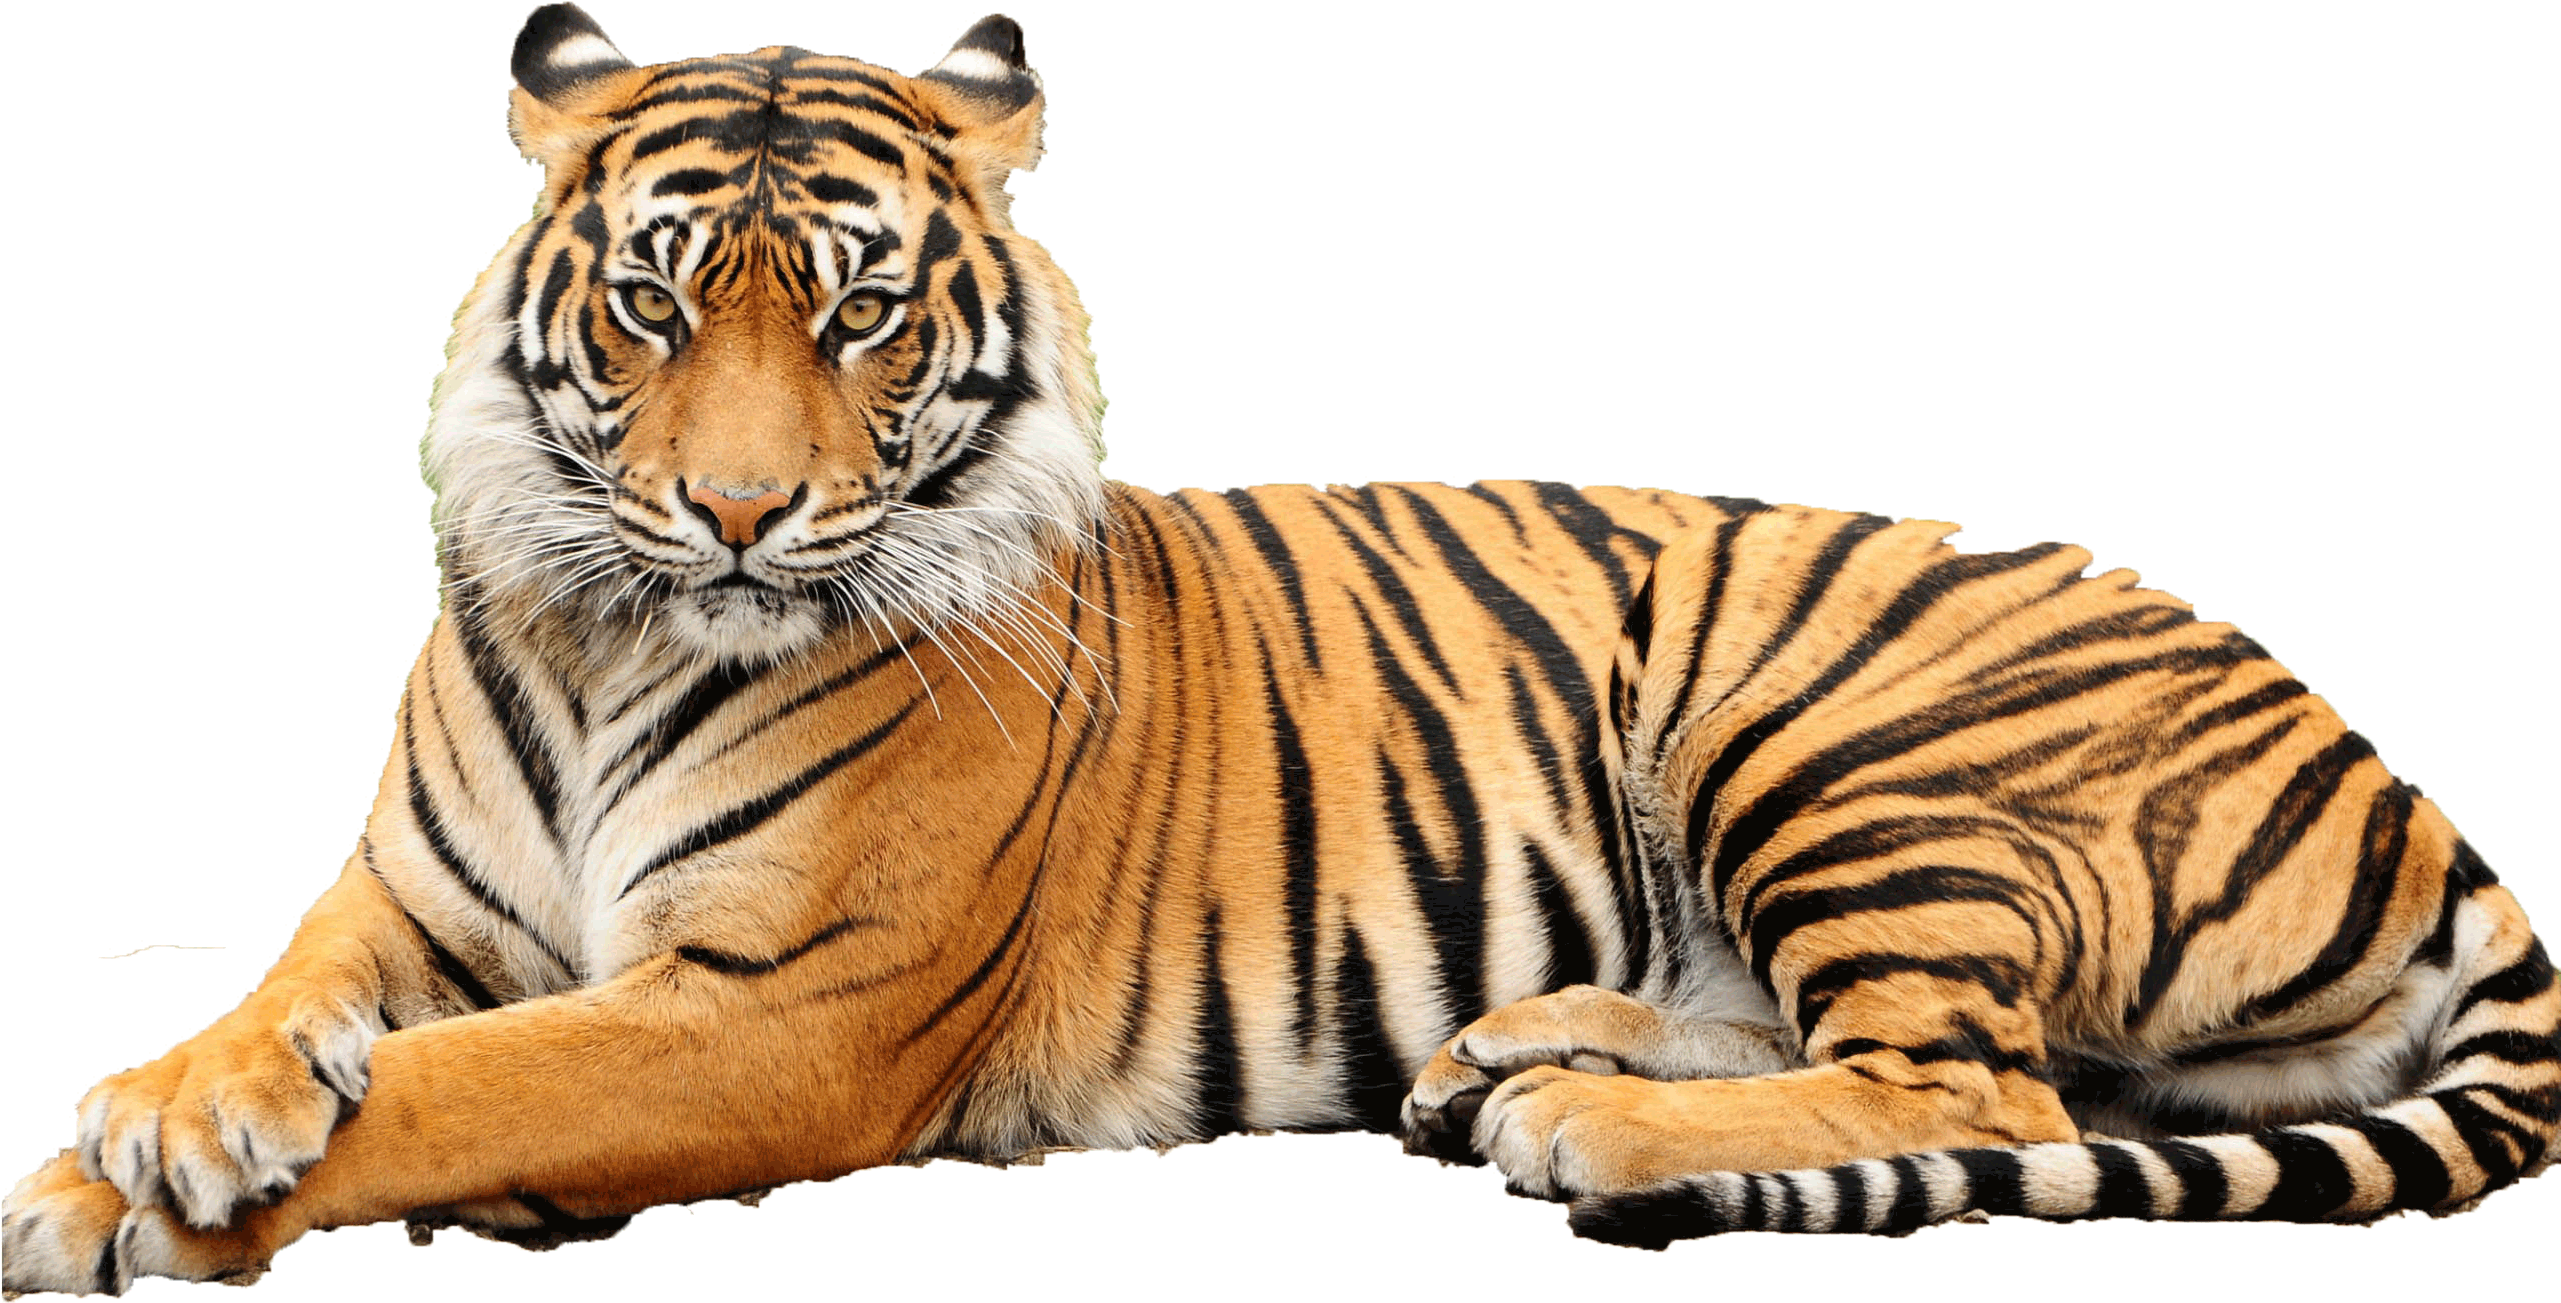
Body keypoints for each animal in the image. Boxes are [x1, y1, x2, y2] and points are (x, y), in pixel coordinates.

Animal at [3, 5, 2554, 1293]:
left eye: (852, 313)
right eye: (650, 302)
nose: (735, 512)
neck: (617, 629)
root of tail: (2378, 761)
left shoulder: (771, 1012)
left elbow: (461, 1088)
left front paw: (131, 1186)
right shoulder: (407, 904)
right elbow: (296, 1007)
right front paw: (166, 1116)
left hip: (1829, 723)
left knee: (1985, 1088)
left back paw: (1584, 1122)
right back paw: (1509, 1055)